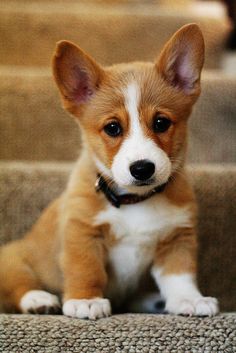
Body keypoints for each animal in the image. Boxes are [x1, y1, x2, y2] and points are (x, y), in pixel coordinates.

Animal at [0, 23, 219, 318]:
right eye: (113, 128)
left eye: (161, 123)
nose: (142, 168)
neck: (135, 200)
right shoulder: (82, 233)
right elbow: (86, 270)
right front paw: (86, 301)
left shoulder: (177, 236)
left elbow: (179, 275)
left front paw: (190, 300)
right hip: (13, 259)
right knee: (19, 283)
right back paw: (39, 299)